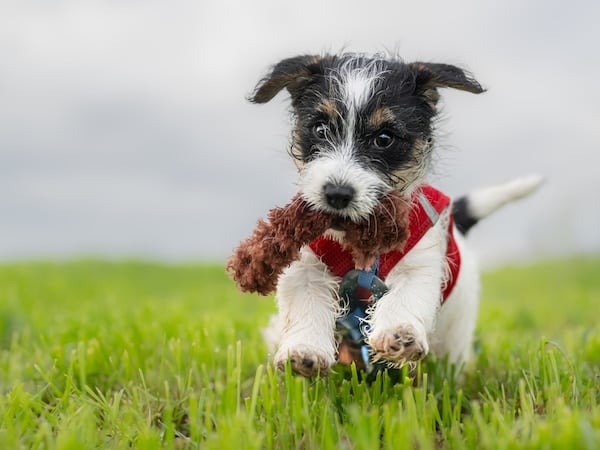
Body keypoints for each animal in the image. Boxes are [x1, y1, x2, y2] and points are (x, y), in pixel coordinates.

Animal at [248, 52, 540, 376]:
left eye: (384, 139)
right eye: (321, 129)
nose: (337, 193)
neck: (359, 247)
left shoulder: (421, 260)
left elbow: (405, 296)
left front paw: (399, 333)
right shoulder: (306, 265)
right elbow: (305, 302)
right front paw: (303, 350)